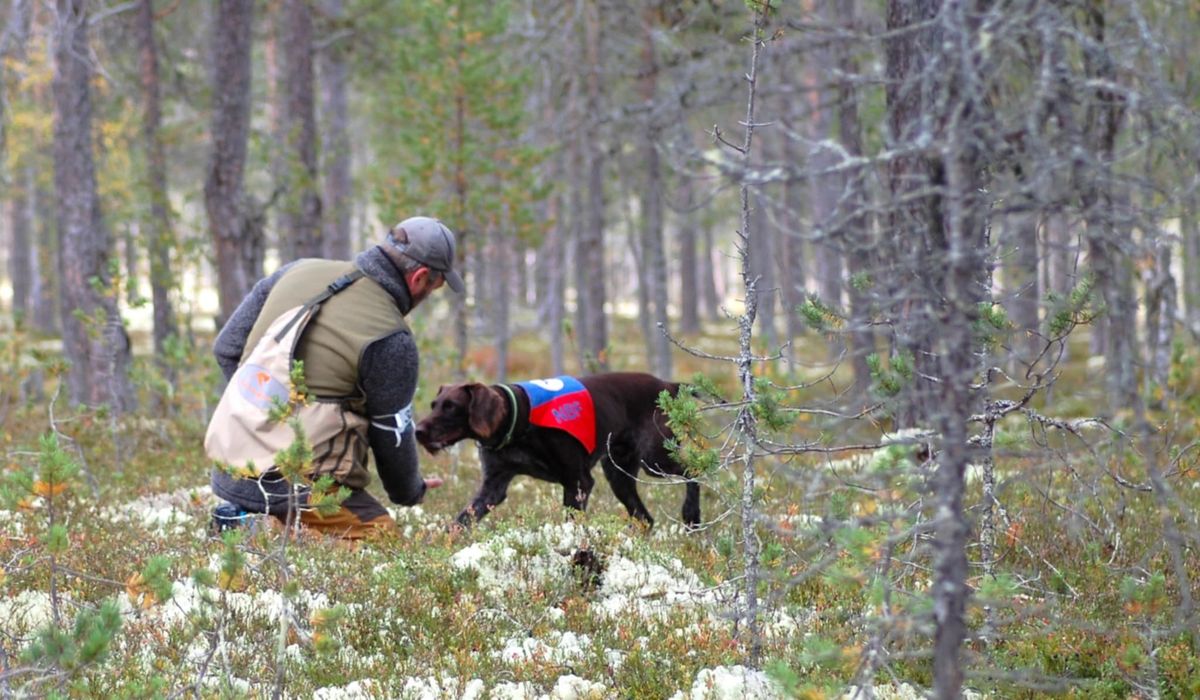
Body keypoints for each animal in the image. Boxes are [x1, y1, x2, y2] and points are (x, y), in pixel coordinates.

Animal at [417, 372, 700, 530]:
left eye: (451, 407)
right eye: (434, 404)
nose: (418, 431)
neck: (518, 420)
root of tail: (668, 385)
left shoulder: (578, 482)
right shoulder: (492, 488)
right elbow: (458, 523)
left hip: (656, 459)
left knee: (694, 472)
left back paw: (692, 516)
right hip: (619, 474)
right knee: (645, 518)